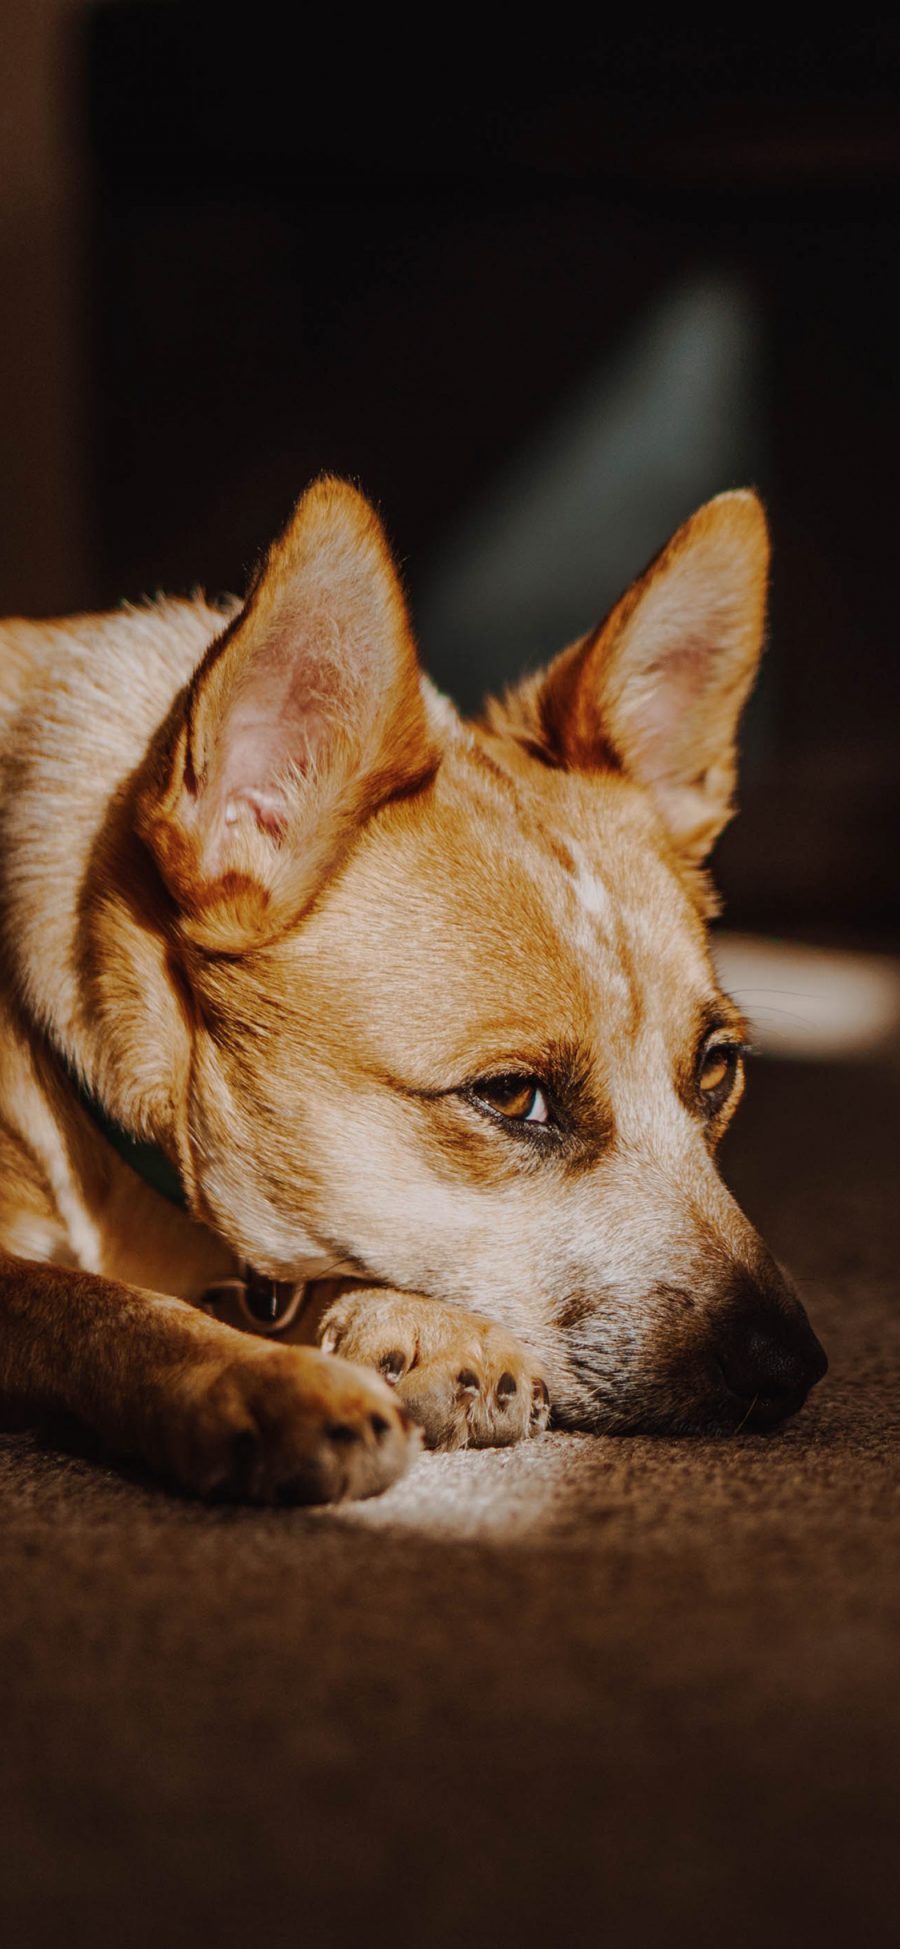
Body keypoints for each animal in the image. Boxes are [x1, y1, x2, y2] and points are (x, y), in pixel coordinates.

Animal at [0, 479, 829, 1496]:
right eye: (512, 1095)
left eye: (717, 1070)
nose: (791, 1366)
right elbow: (87, 1299)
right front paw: (260, 1380)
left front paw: (409, 1324)